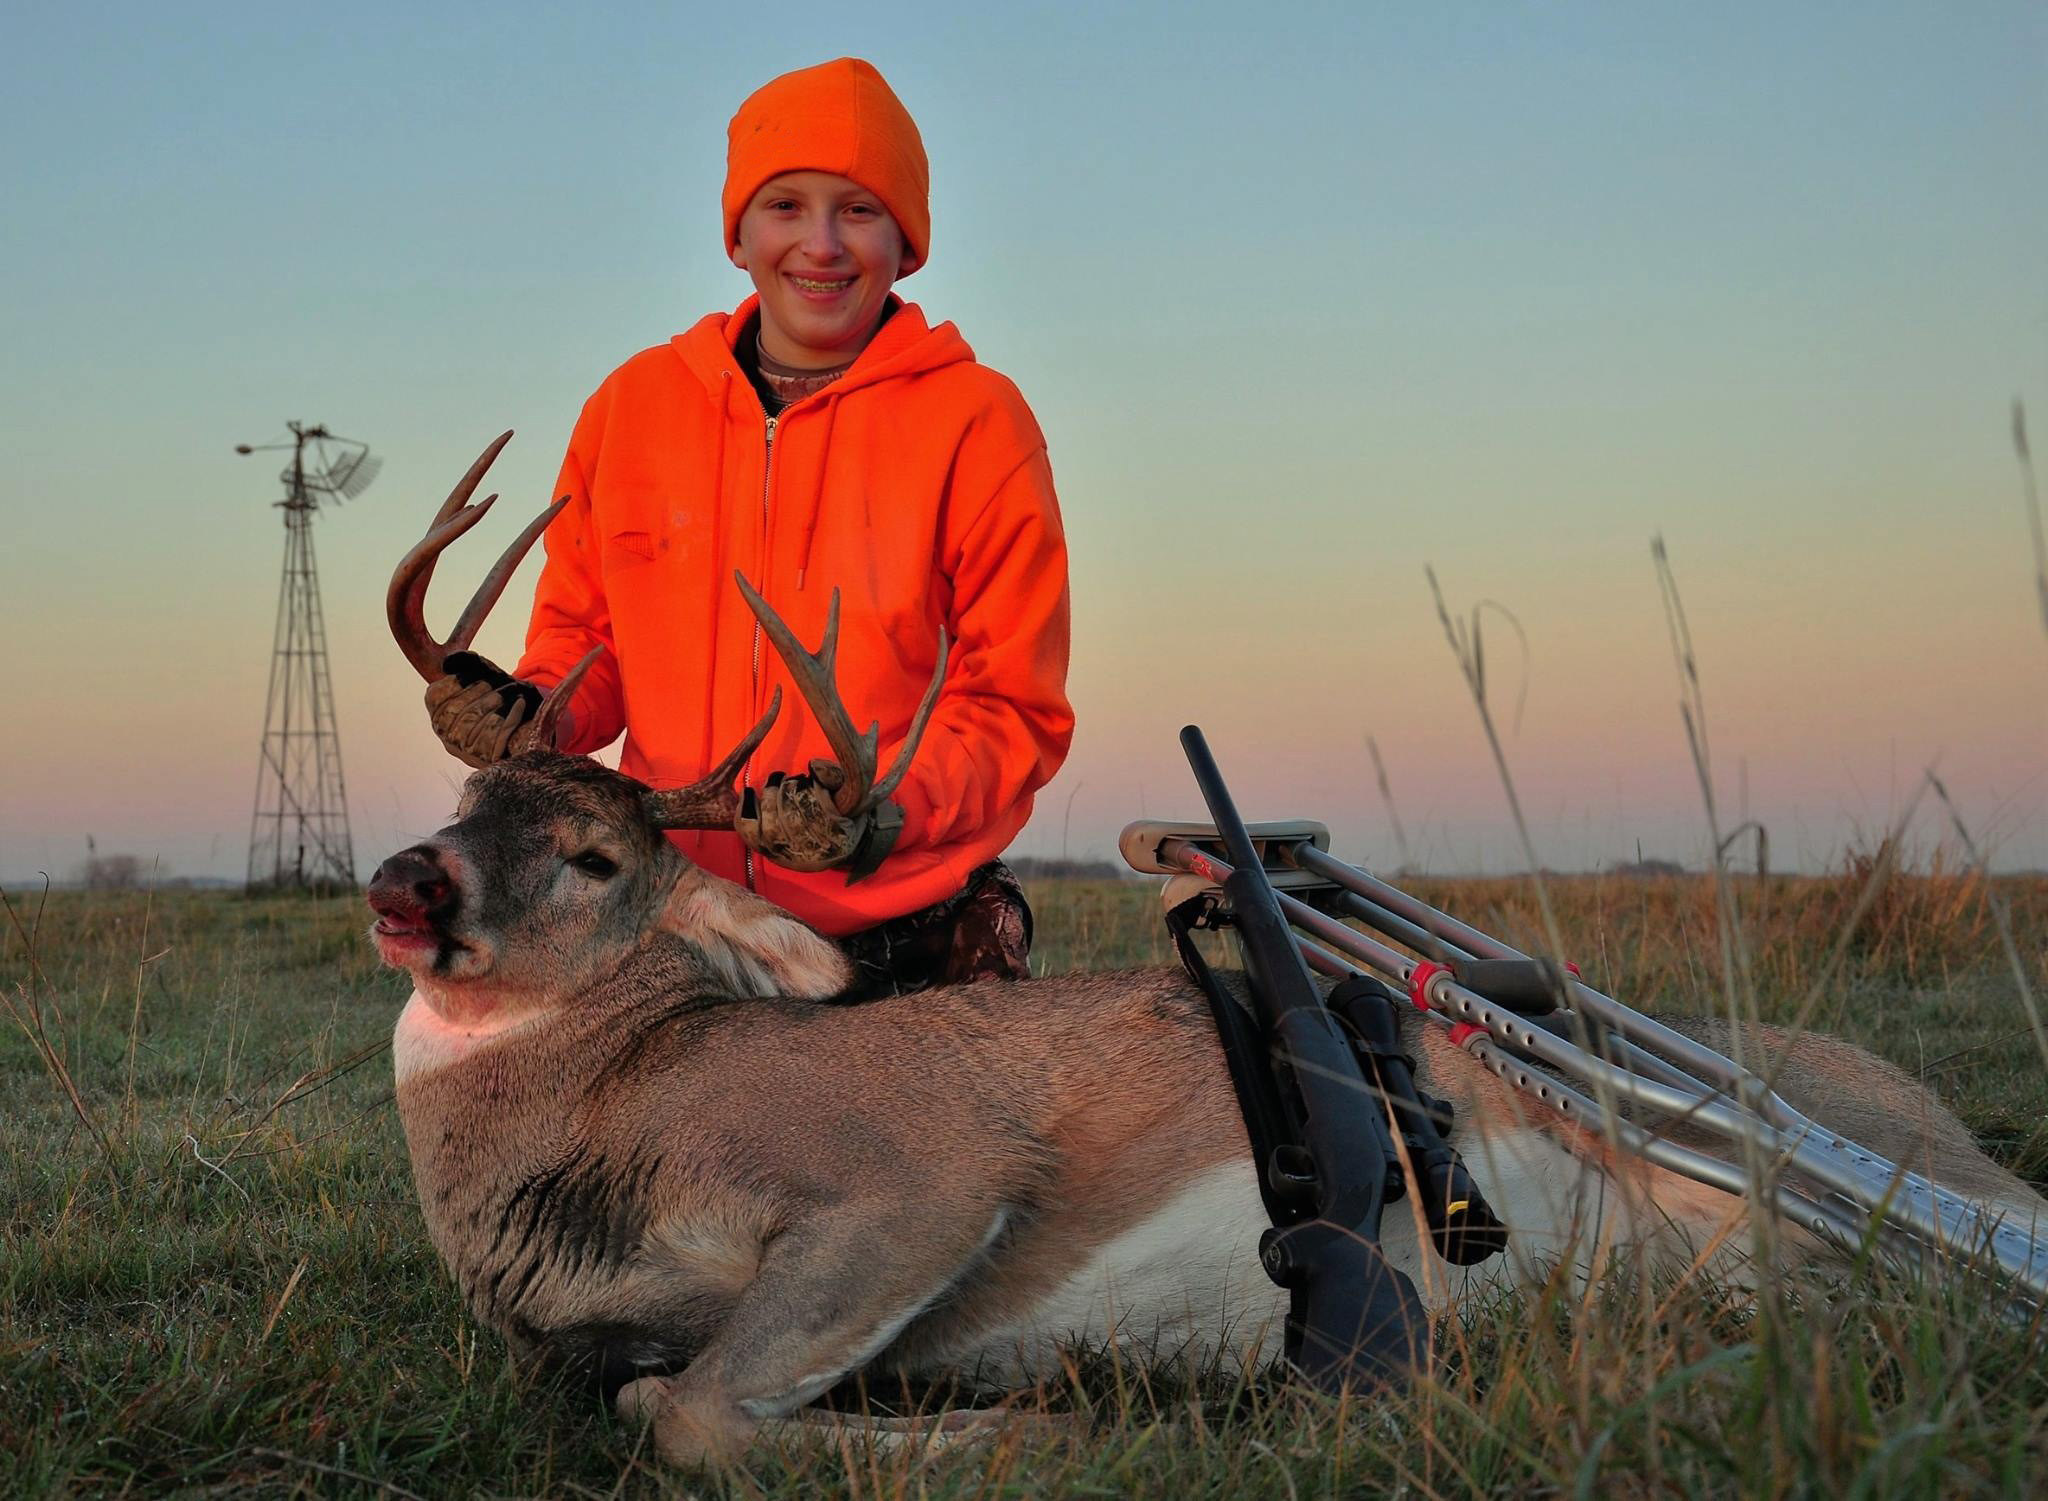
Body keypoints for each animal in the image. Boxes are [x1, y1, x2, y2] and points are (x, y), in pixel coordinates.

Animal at [369, 436, 2048, 1470]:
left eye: (595, 857)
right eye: (463, 802)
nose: (403, 881)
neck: (611, 1115)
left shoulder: (918, 1169)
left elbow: (685, 1407)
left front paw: (1027, 1435)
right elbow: (663, 1390)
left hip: (1877, 1165)